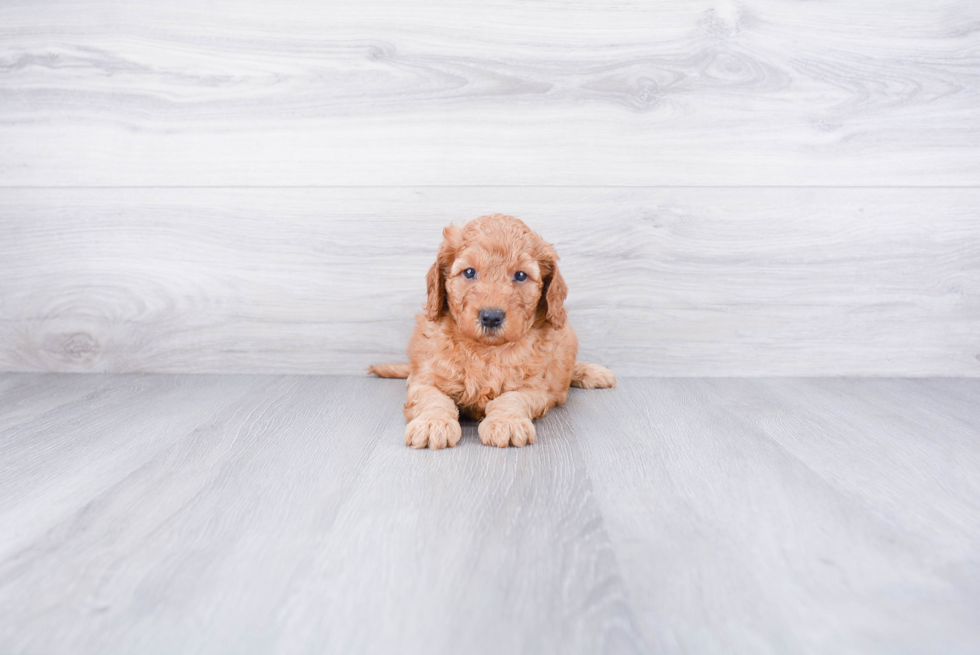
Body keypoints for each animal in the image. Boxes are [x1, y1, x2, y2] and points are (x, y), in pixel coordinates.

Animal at [372, 213, 616, 448]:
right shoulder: (425, 380)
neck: (486, 350)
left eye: (520, 275)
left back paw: (593, 372)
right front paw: (433, 423)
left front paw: (506, 423)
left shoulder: (534, 388)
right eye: (469, 272)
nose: (491, 317)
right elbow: (433, 399)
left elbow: (511, 399)